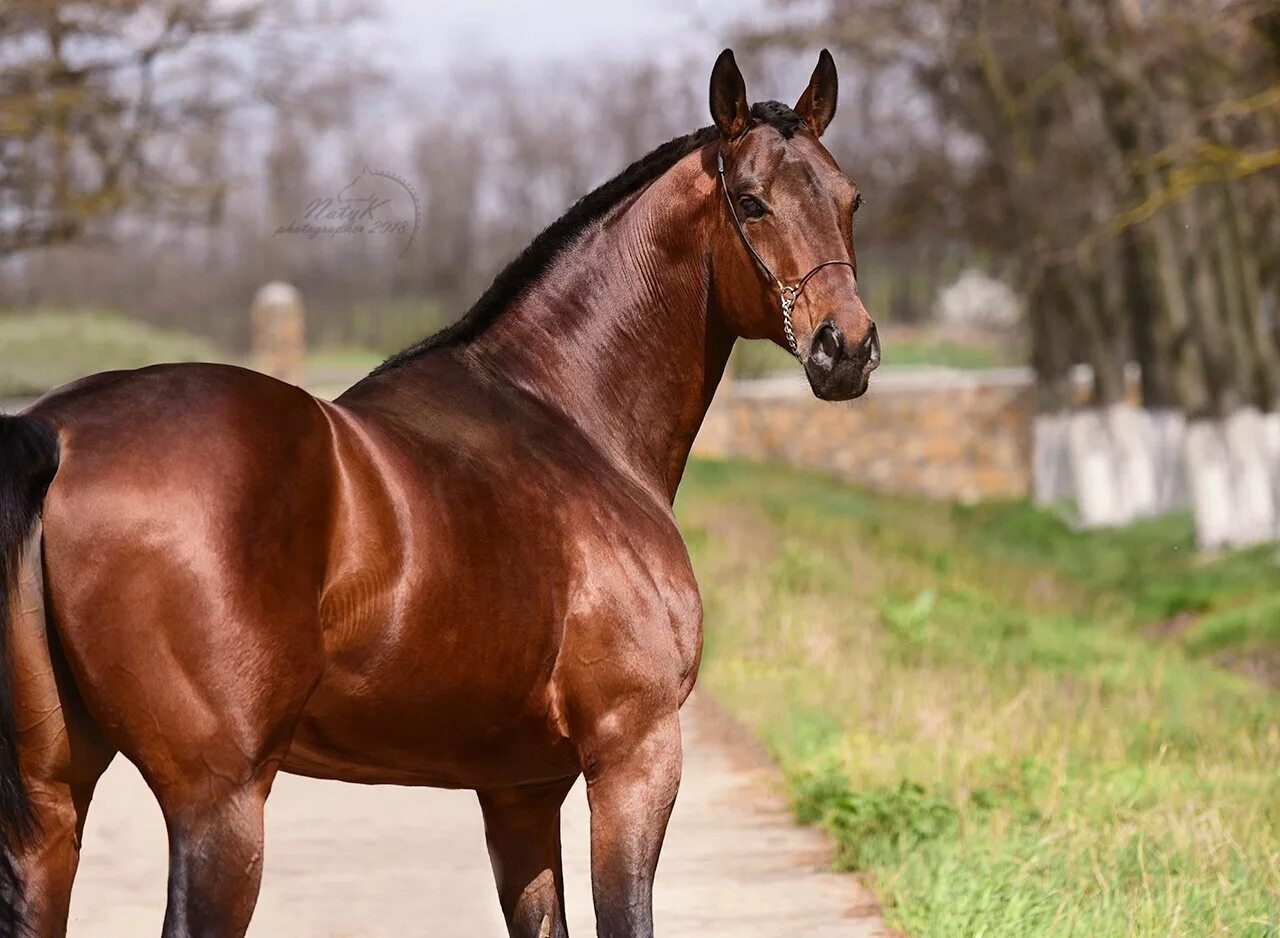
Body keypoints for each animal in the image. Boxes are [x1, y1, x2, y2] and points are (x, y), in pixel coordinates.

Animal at [0, 49, 880, 936]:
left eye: (850, 200)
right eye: (751, 201)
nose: (847, 349)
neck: (571, 413)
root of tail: (58, 438)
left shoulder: (519, 789)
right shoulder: (635, 754)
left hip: (51, 802)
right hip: (220, 807)